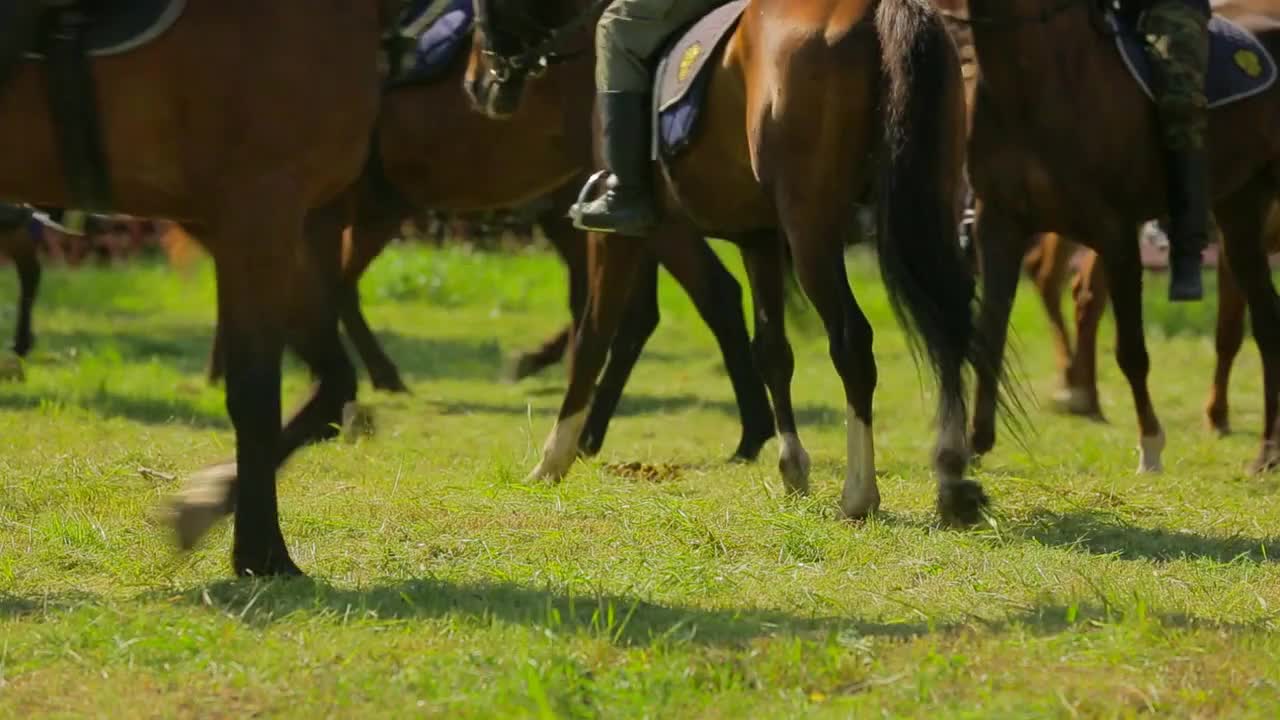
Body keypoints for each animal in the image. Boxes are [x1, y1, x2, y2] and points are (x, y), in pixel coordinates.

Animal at [0, 0, 389, 571]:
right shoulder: (260, 209)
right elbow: (255, 396)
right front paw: (262, 552)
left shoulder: (268, 224)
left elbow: (332, 385)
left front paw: (206, 503)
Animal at [471, 0, 998, 520]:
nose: (478, 83)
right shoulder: (758, 238)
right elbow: (771, 350)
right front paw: (792, 469)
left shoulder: (628, 236)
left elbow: (592, 337)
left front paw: (552, 460)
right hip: (925, 209)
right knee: (948, 323)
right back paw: (952, 478)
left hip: (812, 233)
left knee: (853, 341)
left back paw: (860, 493)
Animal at [962, 0, 1280, 471]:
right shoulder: (1000, 224)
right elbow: (990, 333)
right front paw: (972, 445)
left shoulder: (1116, 232)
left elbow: (1130, 349)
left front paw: (1150, 444)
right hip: (1240, 213)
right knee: (1267, 321)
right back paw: (1267, 452)